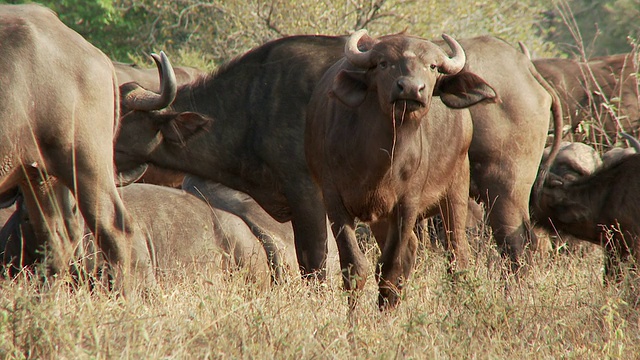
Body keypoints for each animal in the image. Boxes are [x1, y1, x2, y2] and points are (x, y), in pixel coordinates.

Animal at [304, 29, 496, 308]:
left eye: (433, 66)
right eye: (384, 63)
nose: (411, 88)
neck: (380, 162)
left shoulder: (407, 204)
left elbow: (391, 269)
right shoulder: (334, 199)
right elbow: (355, 268)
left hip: (457, 188)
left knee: (456, 255)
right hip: (381, 217)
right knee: (413, 249)